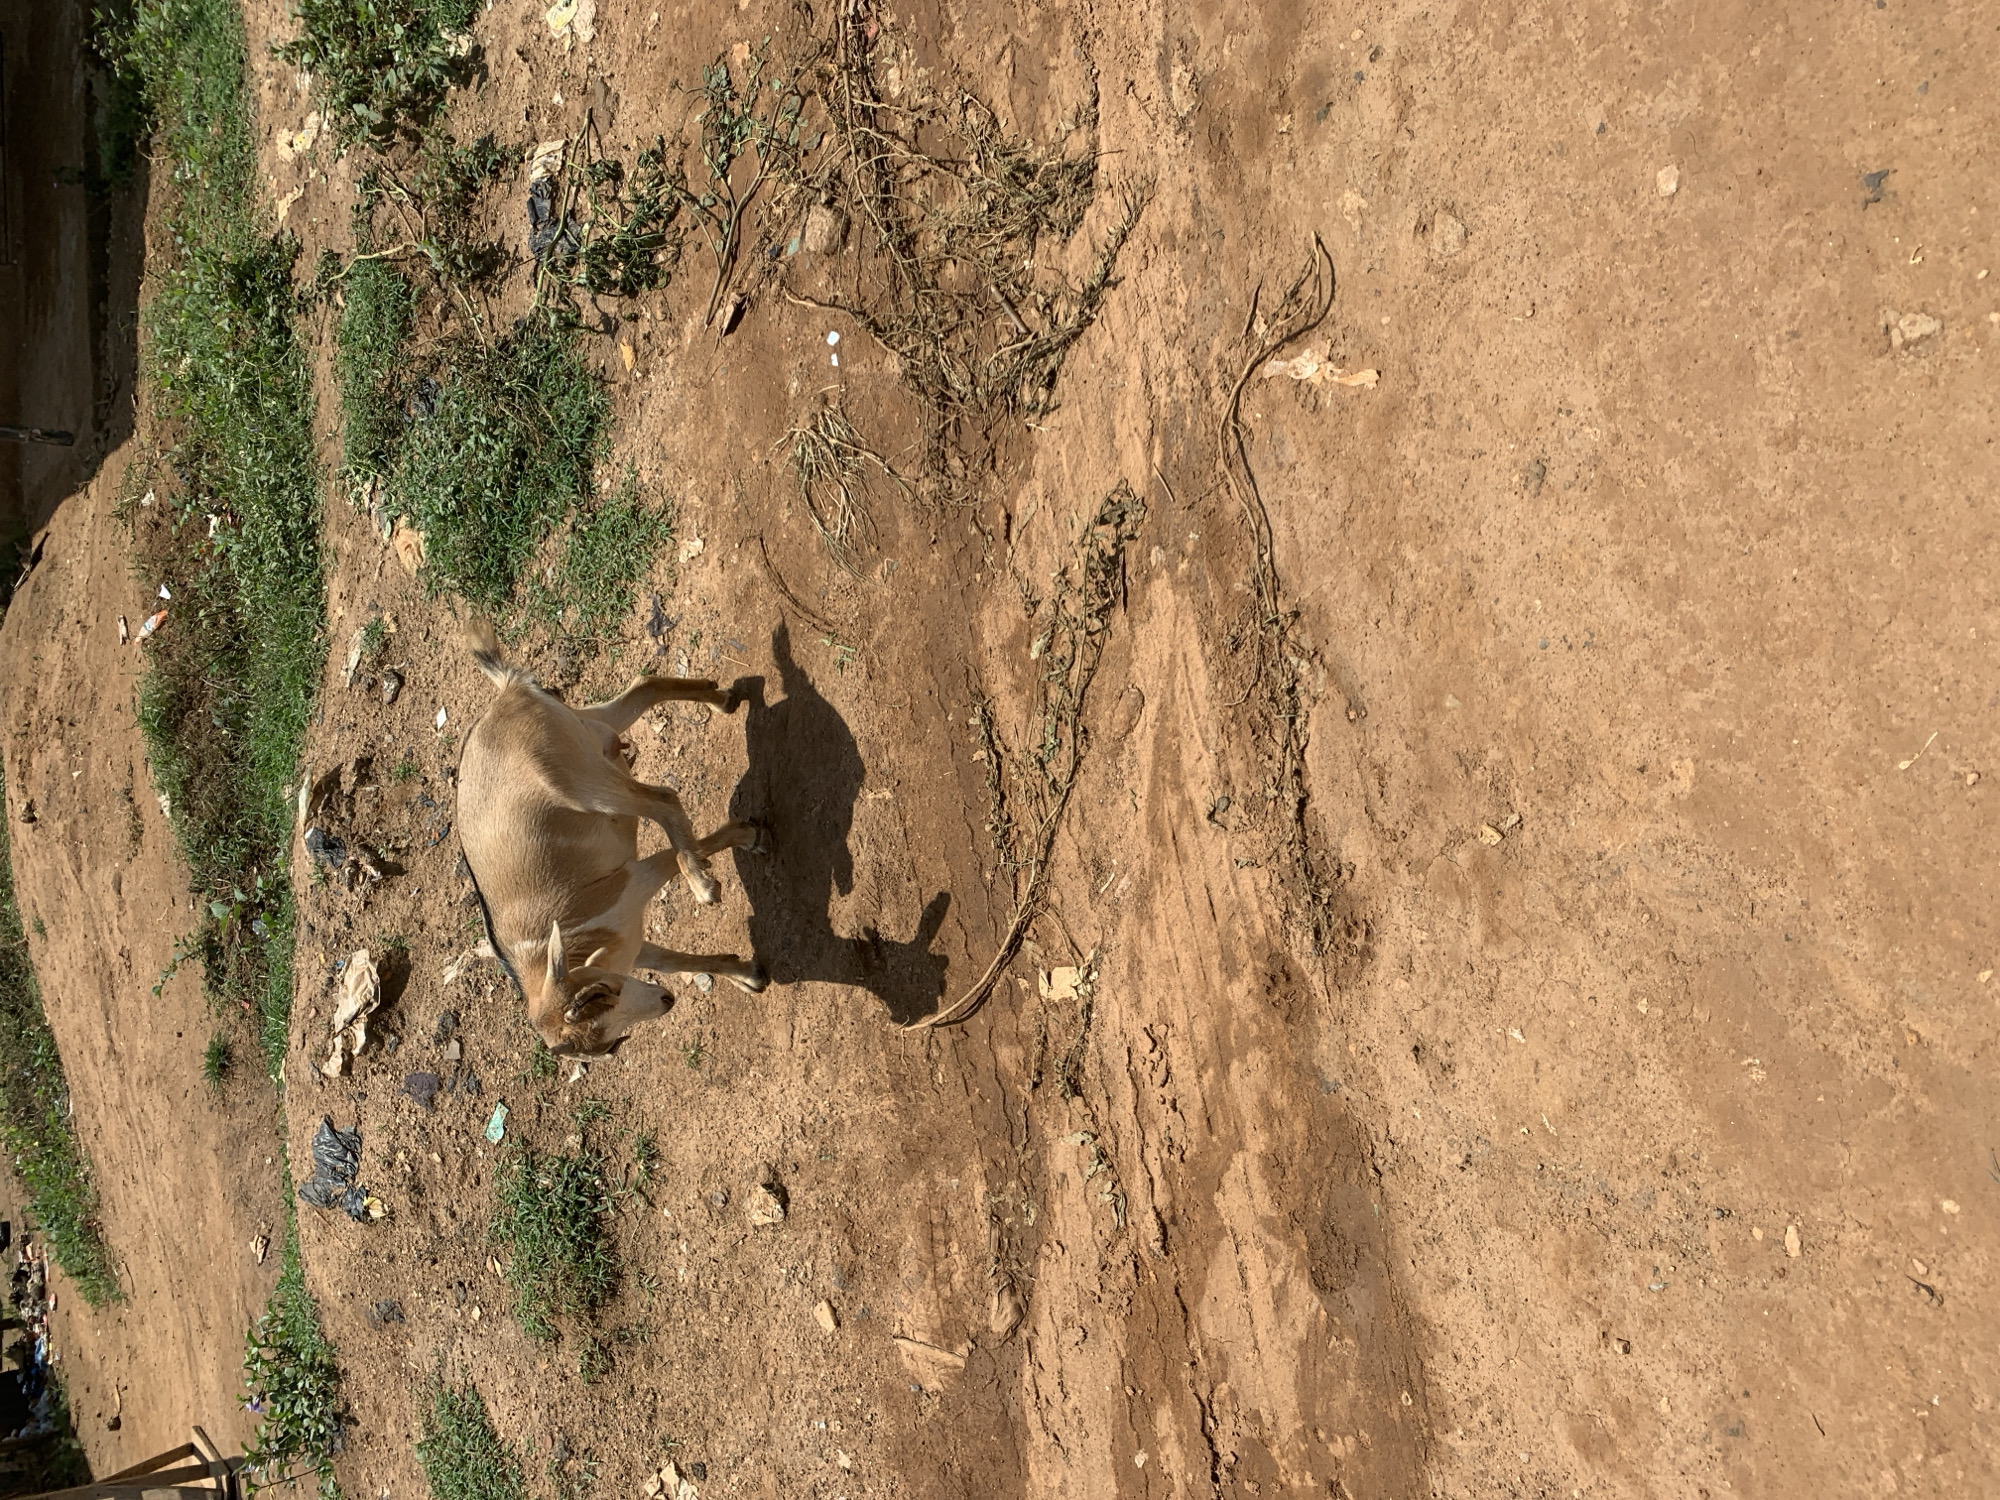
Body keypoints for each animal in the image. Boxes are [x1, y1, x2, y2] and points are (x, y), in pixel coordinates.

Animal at [457, 625, 768, 1056]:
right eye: (604, 1042)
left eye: (603, 996)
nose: (667, 1000)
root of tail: (509, 691)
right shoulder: (634, 945)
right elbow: (675, 962)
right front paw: (748, 975)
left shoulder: (628, 884)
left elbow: (667, 856)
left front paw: (748, 837)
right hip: (589, 726)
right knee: (645, 688)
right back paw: (726, 700)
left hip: (583, 783)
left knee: (663, 798)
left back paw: (702, 883)